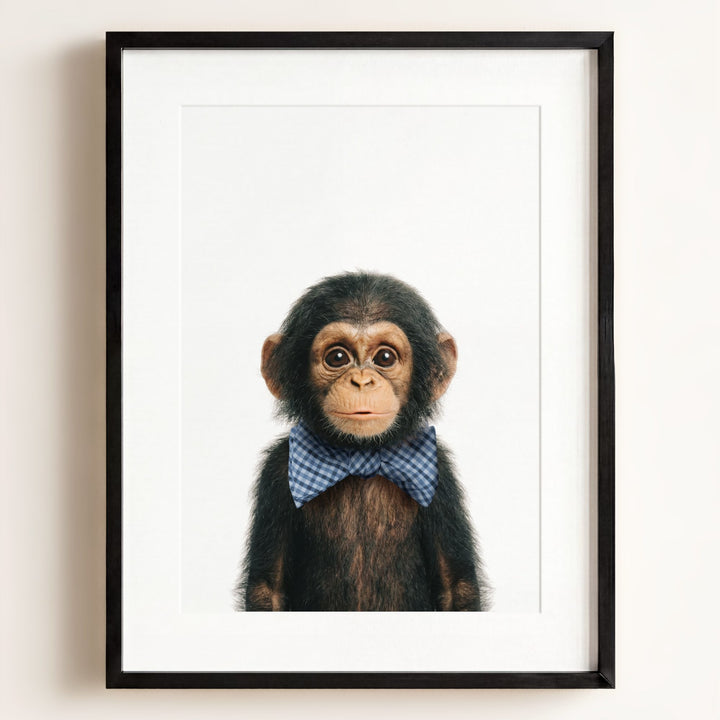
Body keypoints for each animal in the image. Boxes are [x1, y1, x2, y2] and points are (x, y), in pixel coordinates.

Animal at [236, 271, 490, 611]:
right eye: (337, 357)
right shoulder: (276, 471)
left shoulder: (440, 473)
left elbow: (457, 587)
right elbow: (267, 589)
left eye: (385, 357)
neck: (360, 455)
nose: (361, 381)